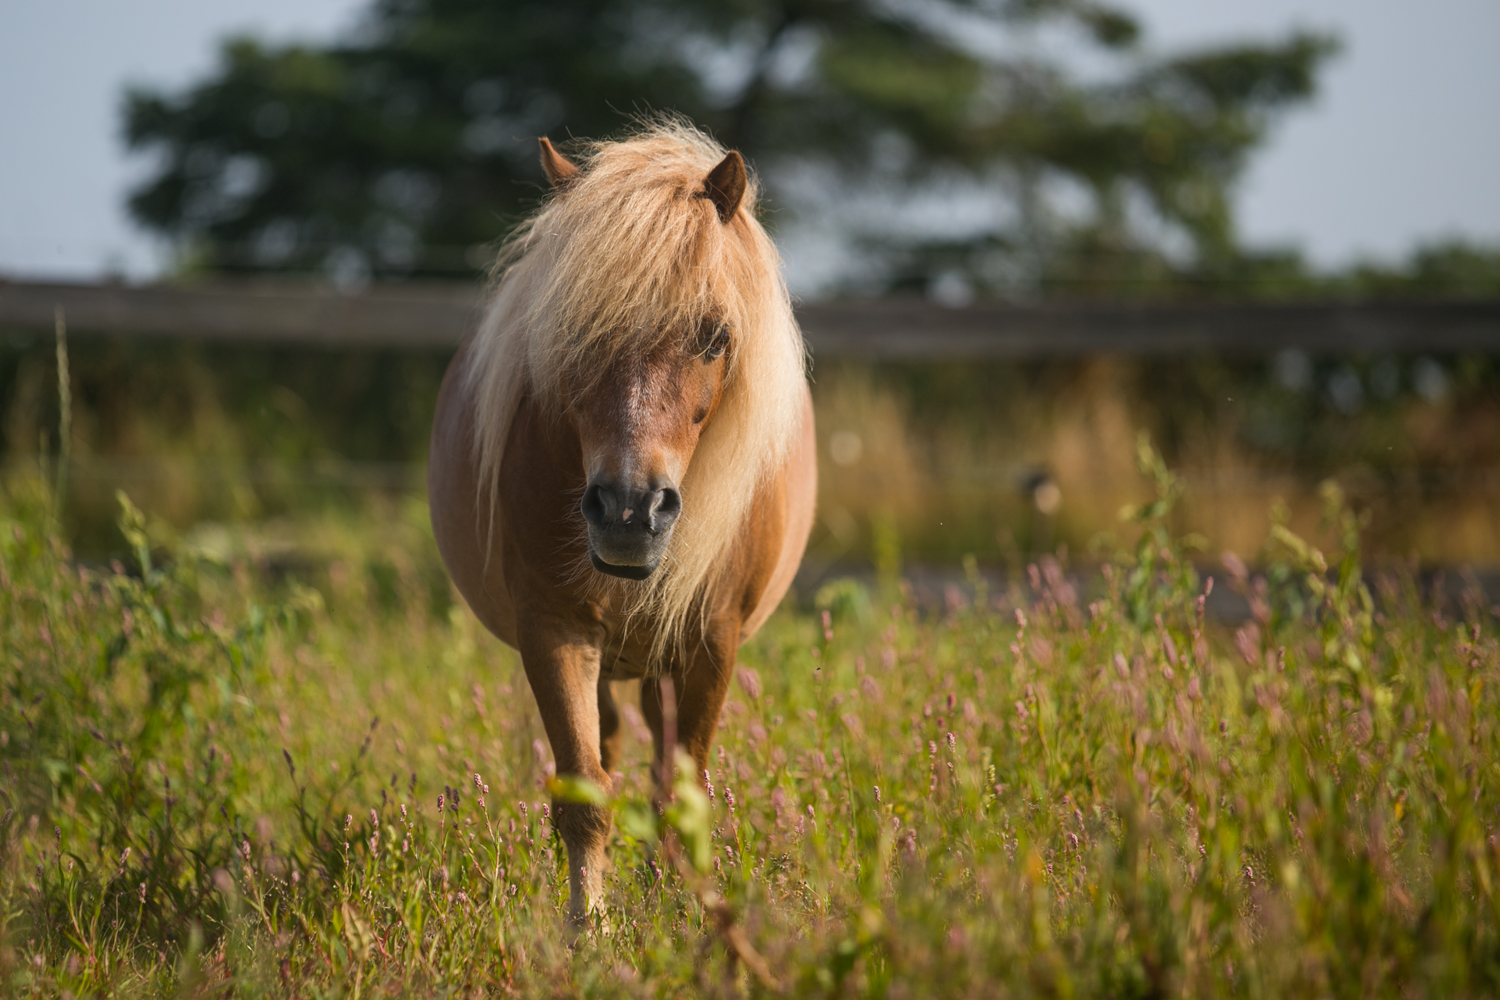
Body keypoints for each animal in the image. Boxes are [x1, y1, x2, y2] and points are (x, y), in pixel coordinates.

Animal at [429, 122, 816, 923]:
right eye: (575, 332)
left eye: (714, 336)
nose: (630, 512)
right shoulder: (554, 630)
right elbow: (584, 794)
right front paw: (590, 929)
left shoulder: (710, 640)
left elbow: (682, 791)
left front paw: (690, 915)